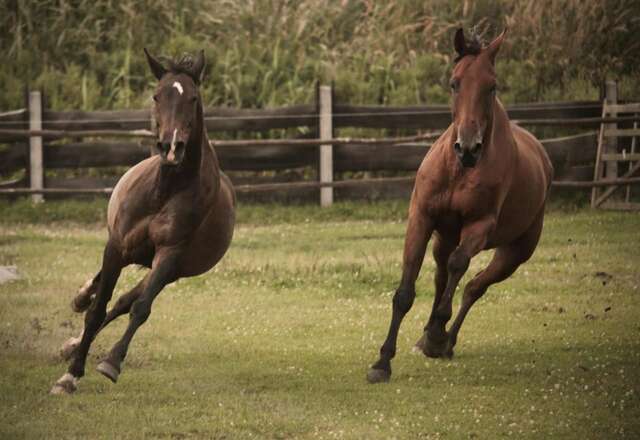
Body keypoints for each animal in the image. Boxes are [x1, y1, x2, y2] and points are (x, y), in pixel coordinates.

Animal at [50, 49, 235, 396]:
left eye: (192, 97)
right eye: (156, 95)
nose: (171, 147)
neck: (165, 192)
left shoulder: (169, 256)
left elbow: (139, 308)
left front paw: (110, 362)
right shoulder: (116, 247)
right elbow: (97, 309)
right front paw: (70, 376)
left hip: (167, 270)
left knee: (125, 302)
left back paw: (74, 343)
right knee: (101, 297)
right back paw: (78, 308)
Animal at [368, 28, 552, 384]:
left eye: (492, 86)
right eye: (454, 83)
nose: (468, 148)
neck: (460, 171)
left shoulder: (479, 226)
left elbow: (458, 267)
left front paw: (437, 334)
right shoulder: (421, 218)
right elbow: (406, 291)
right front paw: (382, 362)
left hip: (515, 253)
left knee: (473, 286)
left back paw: (444, 340)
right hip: (445, 236)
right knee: (444, 277)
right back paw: (428, 337)